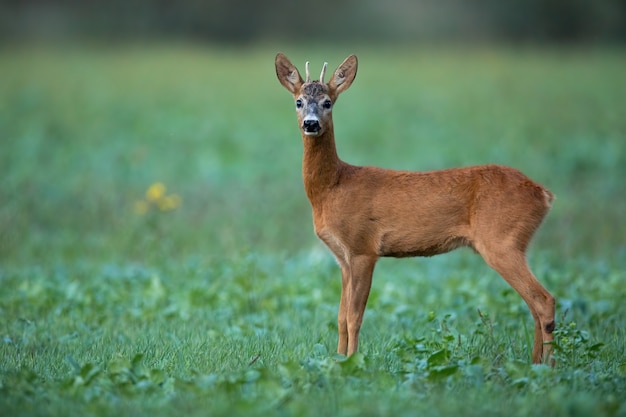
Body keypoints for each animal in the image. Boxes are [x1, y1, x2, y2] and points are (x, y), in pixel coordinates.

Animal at [276, 52, 552, 364]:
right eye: (298, 101)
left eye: (327, 102)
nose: (311, 124)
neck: (333, 187)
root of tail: (543, 193)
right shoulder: (343, 258)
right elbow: (339, 317)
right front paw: (338, 360)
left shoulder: (363, 248)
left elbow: (354, 317)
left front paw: (354, 362)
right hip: (514, 243)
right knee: (534, 305)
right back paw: (536, 363)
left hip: (501, 241)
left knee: (544, 300)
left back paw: (550, 366)